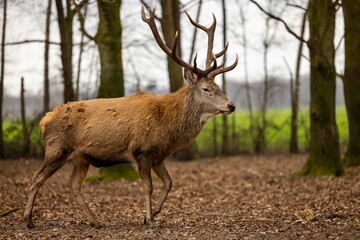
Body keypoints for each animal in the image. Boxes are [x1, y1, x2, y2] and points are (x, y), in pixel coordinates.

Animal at [21, 4, 236, 228]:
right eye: (206, 89)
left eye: (218, 86)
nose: (231, 105)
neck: (168, 127)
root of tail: (43, 120)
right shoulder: (141, 151)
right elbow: (148, 187)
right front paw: (150, 219)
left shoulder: (158, 156)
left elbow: (169, 183)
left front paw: (151, 214)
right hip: (56, 148)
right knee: (37, 177)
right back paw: (28, 219)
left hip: (81, 158)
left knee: (73, 185)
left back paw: (94, 220)